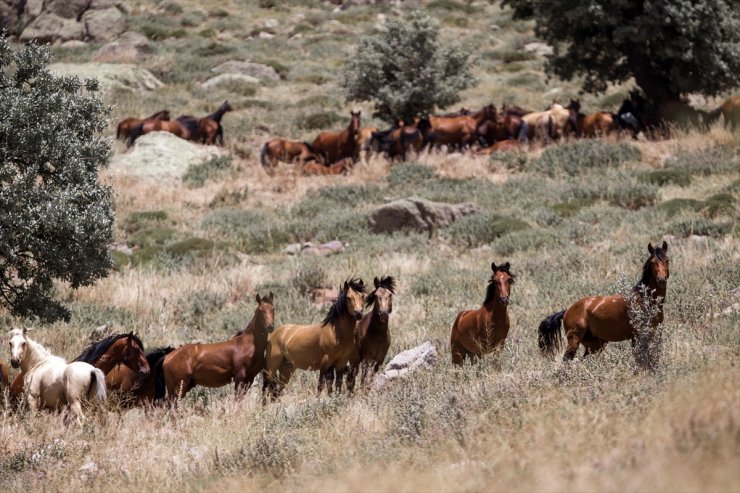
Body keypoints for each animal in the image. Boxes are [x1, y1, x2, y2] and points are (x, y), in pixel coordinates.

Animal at [536, 242, 672, 362]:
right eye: (653, 262)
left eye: (667, 260)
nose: (661, 280)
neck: (645, 299)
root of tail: (567, 311)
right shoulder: (637, 334)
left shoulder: (652, 332)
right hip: (574, 340)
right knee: (566, 360)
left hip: (594, 345)